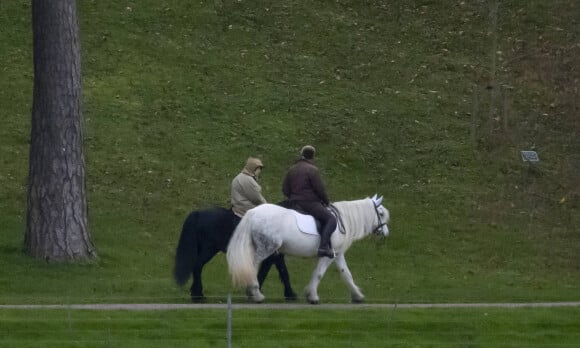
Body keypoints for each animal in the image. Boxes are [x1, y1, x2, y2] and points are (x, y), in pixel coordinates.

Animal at [228, 194, 390, 304]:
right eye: (381, 214)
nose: (386, 233)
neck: (343, 219)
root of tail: (253, 212)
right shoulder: (327, 255)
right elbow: (319, 273)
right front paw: (312, 296)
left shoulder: (337, 254)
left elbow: (346, 274)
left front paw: (357, 296)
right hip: (266, 249)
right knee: (253, 266)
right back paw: (256, 294)